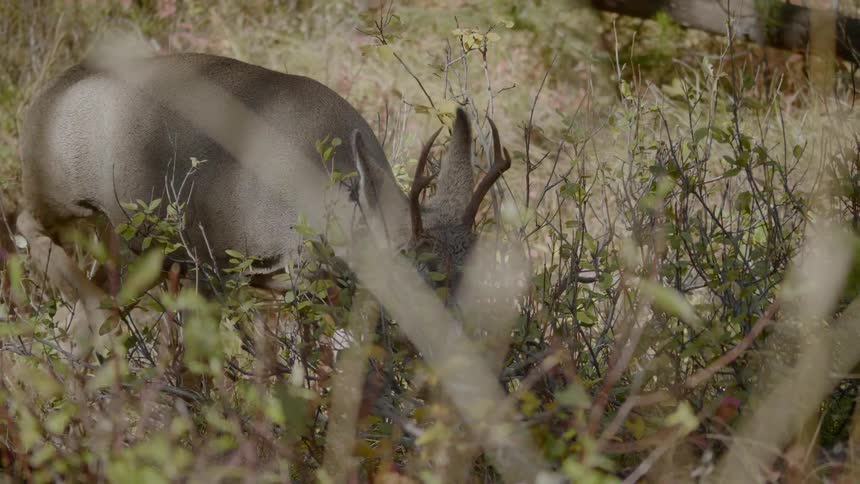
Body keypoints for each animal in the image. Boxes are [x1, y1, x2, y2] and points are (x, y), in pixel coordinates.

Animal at [16, 52, 512, 356]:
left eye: (476, 271)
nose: (460, 344)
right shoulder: (241, 264)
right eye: (412, 272)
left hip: (134, 245)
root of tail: (46, 94)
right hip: (60, 195)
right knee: (28, 225)